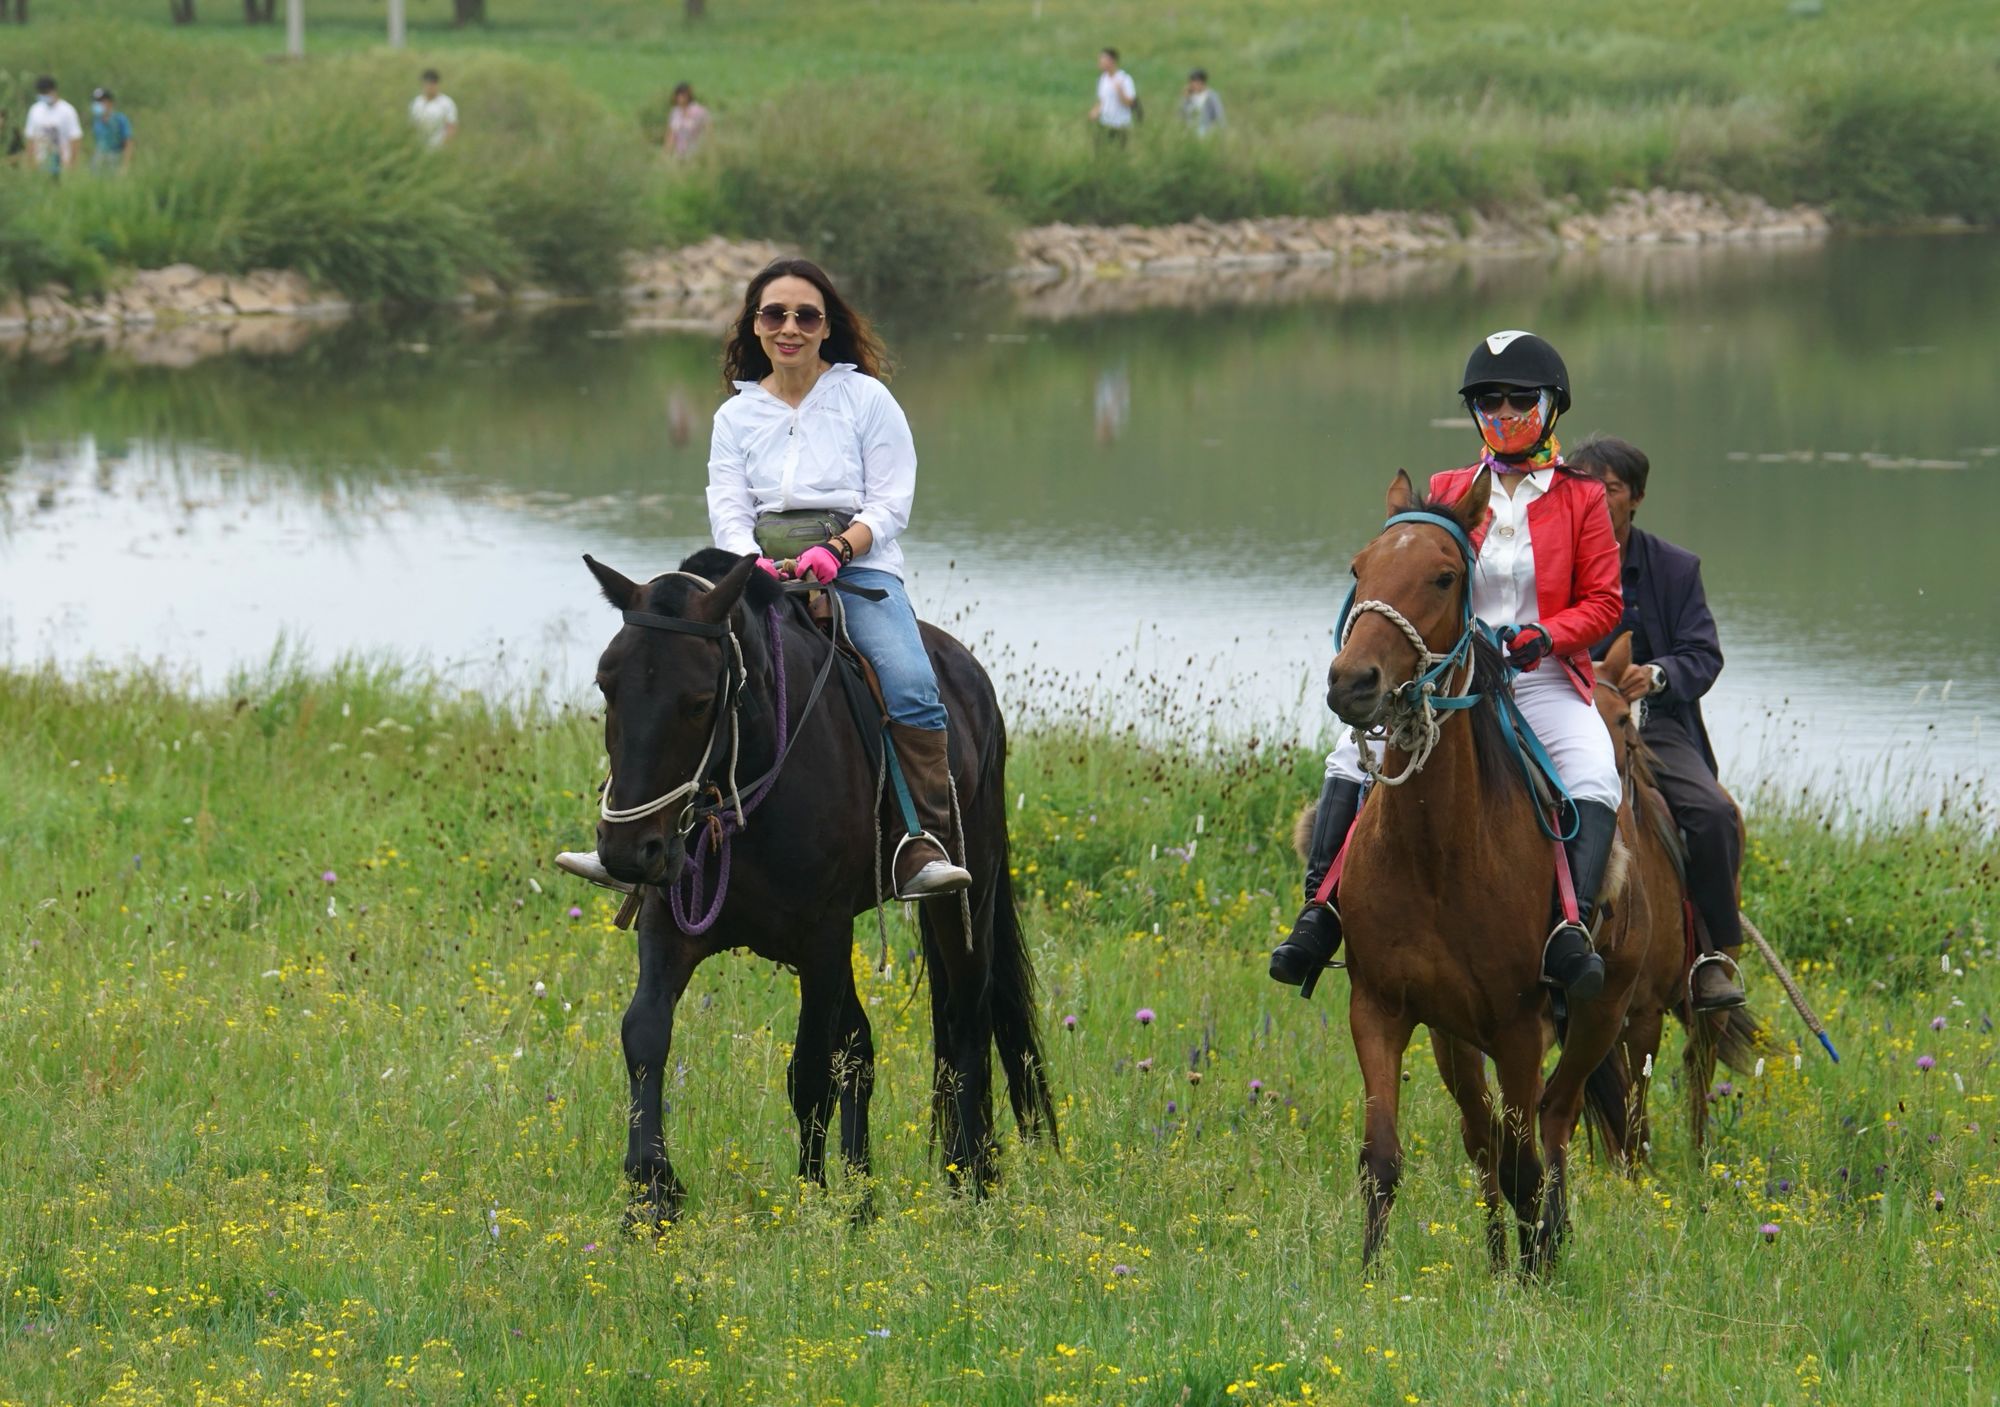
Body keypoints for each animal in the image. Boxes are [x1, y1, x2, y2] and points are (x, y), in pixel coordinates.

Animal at [584, 555, 1064, 1223]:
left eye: (699, 701)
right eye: (607, 685)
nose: (628, 850)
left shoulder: (822, 938)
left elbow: (809, 1072)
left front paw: (809, 1203)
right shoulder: (670, 925)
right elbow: (645, 1034)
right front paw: (650, 1195)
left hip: (962, 901)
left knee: (965, 1027)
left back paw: (971, 1179)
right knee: (861, 1048)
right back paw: (864, 1202)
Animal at [1320, 475, 1648, 1279]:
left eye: (1443, 576)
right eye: (1359, 567)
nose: (1352, 682)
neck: (1438, 854)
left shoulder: (1519, 1027)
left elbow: (1527, 1161)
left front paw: (1534, 1278)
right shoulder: (1380, 1007)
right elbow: (1382, 1157)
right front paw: (1368, 1280)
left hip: (1597, 1016)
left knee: (1550, 1128)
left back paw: (1543, 1250)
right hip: (1454, 1039)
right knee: (1484, 1138)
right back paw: (1503, 1257)